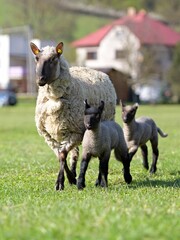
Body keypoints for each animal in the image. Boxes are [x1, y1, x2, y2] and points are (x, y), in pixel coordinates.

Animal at [29, 41, 116, 191]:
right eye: (36, 58)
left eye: (53, 59)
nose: (40, 80)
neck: (54, 99)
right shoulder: (49, 135)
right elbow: (61, 157)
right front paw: (70, 178)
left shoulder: (76, 132)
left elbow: (62, 155)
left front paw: (60, 182)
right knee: (74, 155)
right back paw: (74, 173)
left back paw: (98, 181)